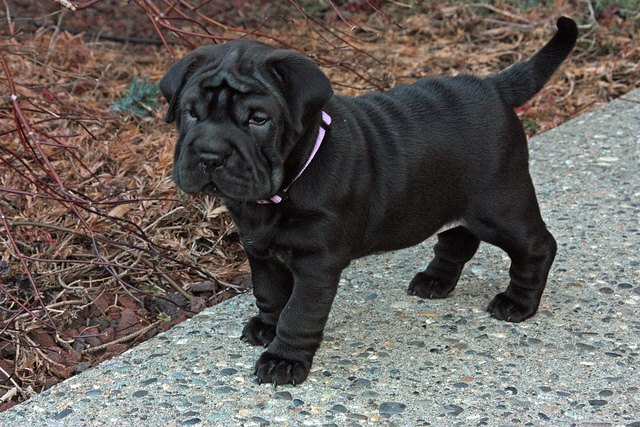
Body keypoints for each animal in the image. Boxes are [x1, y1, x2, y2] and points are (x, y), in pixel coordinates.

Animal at [160, 16, 580, 386]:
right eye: (191, 113)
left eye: (258, 119)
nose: (210, 154)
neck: (285, 185)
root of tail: (494, 88)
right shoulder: (259, 249)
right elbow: (269, 293)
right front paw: (266, 326)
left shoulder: (316, 263)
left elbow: (299, 312)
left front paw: (283, 359)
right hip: (449, 199)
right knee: (456, 239)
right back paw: (435, 281)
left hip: (500, 206)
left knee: (538, 246)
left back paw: (518, 303)